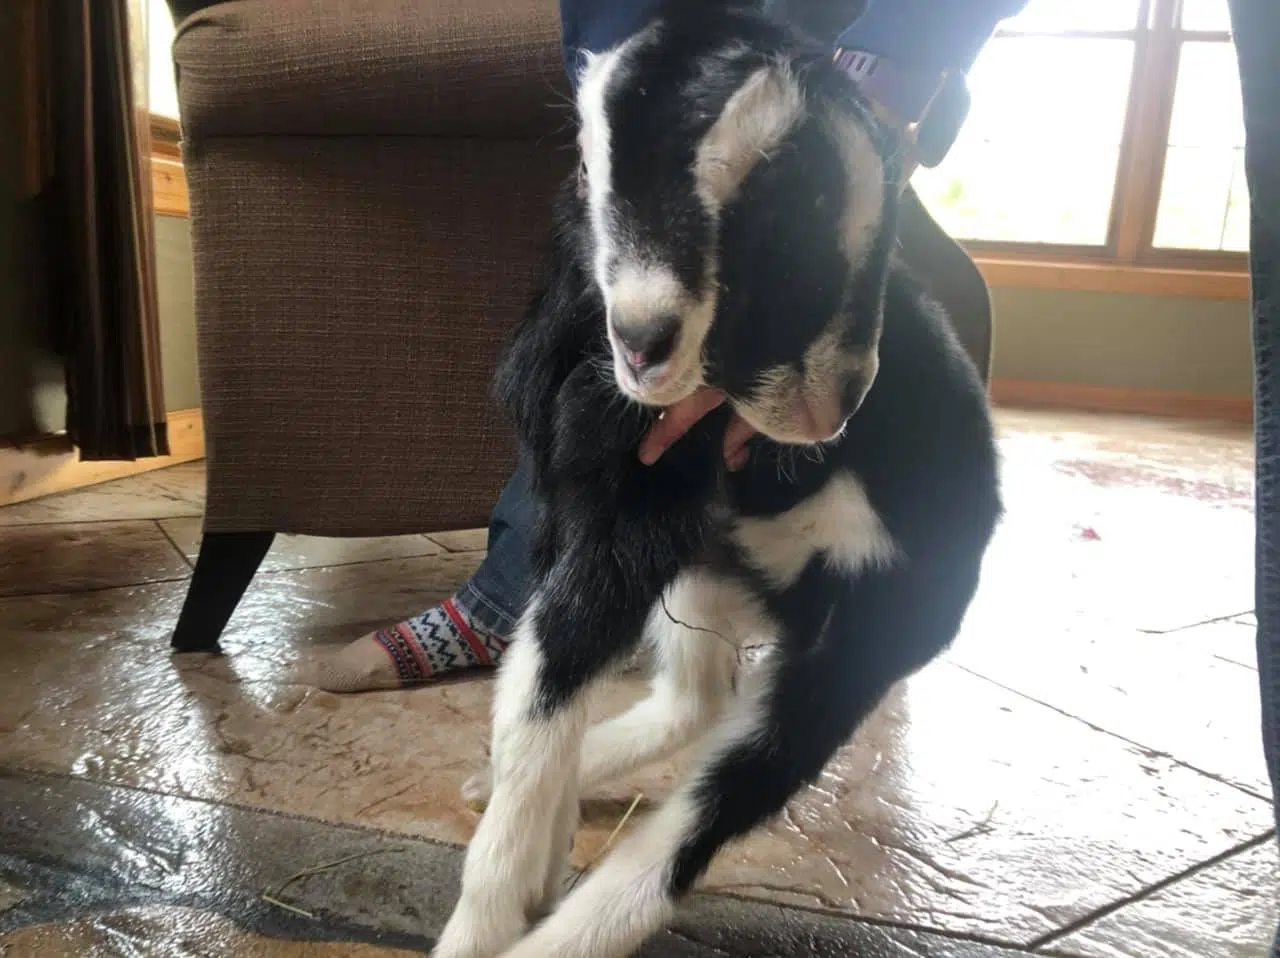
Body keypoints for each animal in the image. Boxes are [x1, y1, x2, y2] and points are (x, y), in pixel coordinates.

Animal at [435, 3, 1003, 952]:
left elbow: (548, 705)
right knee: (698, 699)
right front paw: (521, 865)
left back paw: (565, 930)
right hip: (704, 574)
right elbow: (538, 699)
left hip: (864, 633)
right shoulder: (597, 510)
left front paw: (492, 918)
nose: (644, 341)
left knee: (707, 811)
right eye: (587, 170)